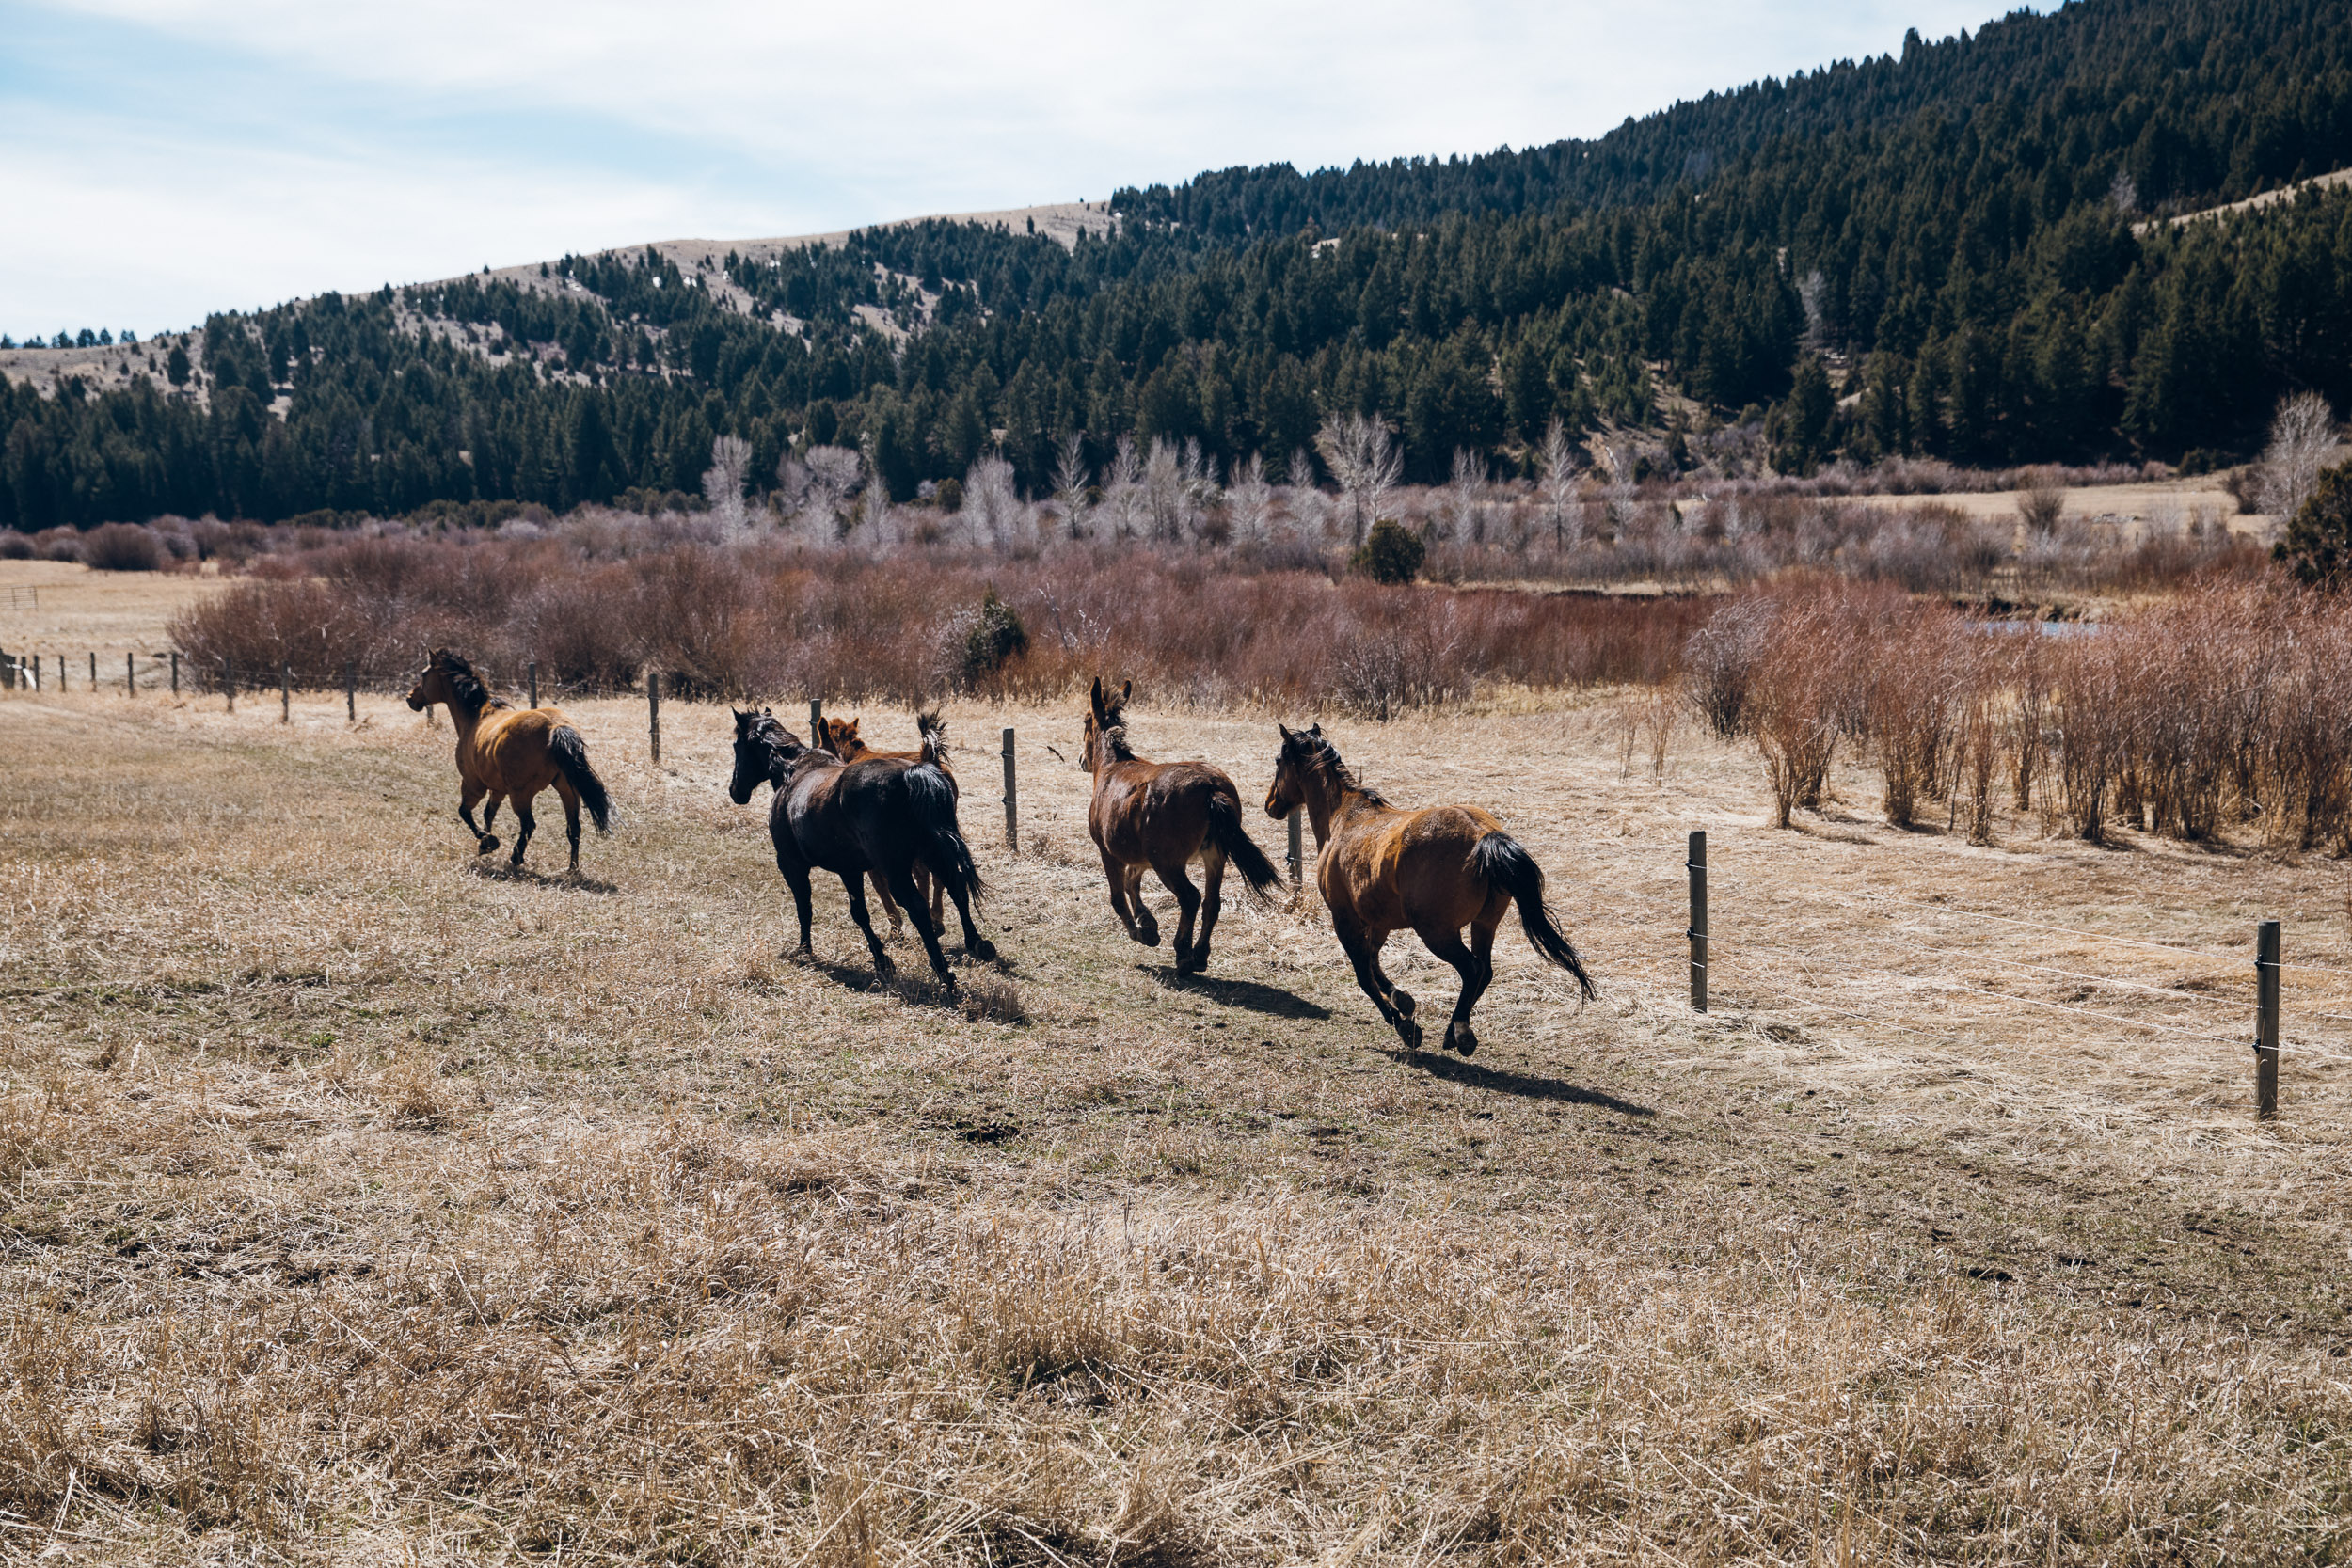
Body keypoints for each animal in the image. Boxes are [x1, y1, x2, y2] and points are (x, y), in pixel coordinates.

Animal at [406, 648, 612, 879]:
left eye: (424, 674)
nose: (410, 698)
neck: (476, 716)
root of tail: (554, 727)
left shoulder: (473, 785)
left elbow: (465, 812)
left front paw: (488, 841)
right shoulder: (497, 790)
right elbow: (488, 813)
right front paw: (485, 844)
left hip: (521, 795)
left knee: (529, 825)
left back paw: (517, 857)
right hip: (567, 789)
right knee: (573, 828)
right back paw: (572, 868)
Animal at [1082, 676, 1289, 973]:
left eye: (1086, 719)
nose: (1082, 761)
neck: (1113, 767)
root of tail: (1210, 788)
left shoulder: (1108, 852)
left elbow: (1119, 896)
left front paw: (1140, 932)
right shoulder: (1140, 858)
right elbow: (1132, 884)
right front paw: (1148, 924)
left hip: (1168, 863)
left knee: (1190, 898)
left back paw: (1183, 954)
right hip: (1214, 857)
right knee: (1212, 903)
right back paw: (1200, 955)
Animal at [1270, 723, 1599, 1053]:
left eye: (1278, 761)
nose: (1270, 804)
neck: (1344, 816)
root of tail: (1483, 835)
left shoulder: (1344, 918)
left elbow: (1364, 973)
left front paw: (1403, 1025)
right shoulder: (1379, 921)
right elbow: (1374, 962)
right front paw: (1403, 1001)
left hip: (1436, 932)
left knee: (1472, 969)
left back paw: (1462, 1032)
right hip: (1484, 924)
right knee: (1484, 971)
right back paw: (1451, 1031)